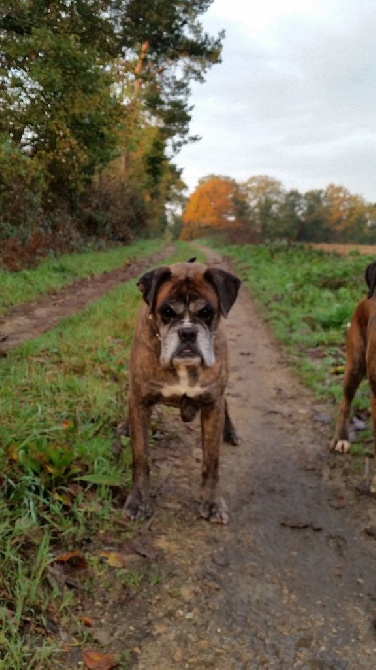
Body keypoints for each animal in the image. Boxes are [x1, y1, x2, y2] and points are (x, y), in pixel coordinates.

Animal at [123, 258, 241, 524]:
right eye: (167, 312)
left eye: (206, 313)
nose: (187, 332)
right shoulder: (140, 401)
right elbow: (141, 458)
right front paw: (139, 500)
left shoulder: (212, 405)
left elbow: (211, 462)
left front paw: (212, 502)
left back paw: (231, 431)